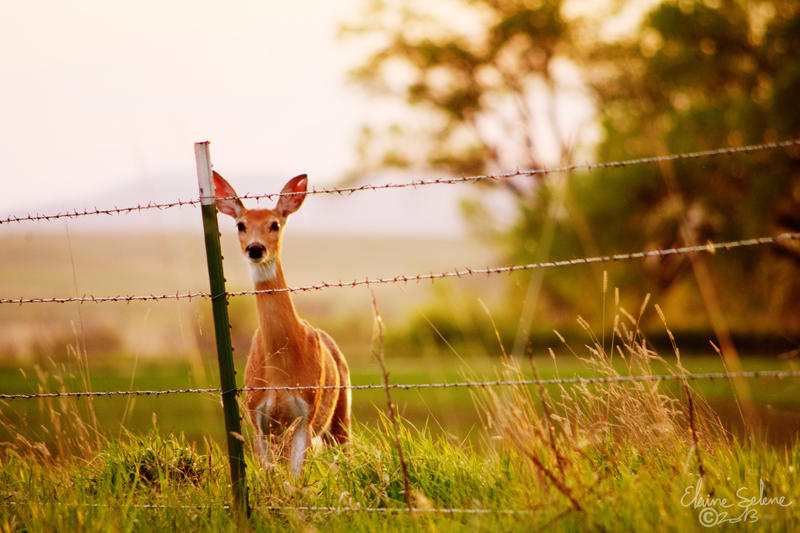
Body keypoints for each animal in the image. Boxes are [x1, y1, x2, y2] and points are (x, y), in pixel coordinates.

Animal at [212, 170, 350, 474]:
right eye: (241, 225)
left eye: (274, 224)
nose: (255, 248)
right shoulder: (258, 420)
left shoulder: (305, 416)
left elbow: (294, 482)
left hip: (340, 411)